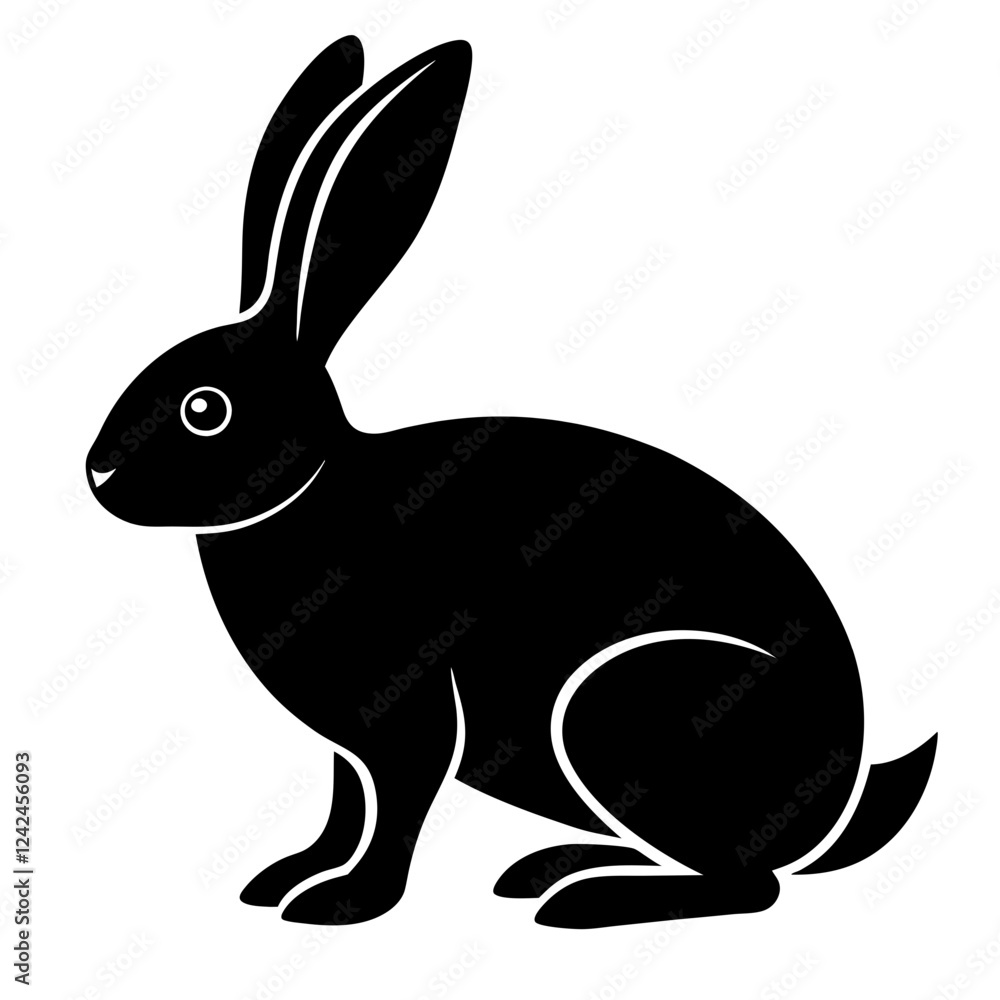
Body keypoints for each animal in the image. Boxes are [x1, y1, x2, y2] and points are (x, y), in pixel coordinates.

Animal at [86, 36, 938, 929]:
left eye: (204, 409)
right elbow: (345, 806)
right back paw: (550, 869)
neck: (316, 490)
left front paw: (344, 904)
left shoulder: (410, 713)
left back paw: (583, 901)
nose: (97, 473)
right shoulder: (349, 744)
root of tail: (838, 806)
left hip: (625, 710)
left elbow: (394, 808)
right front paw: (287, 879)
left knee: (750, 885)